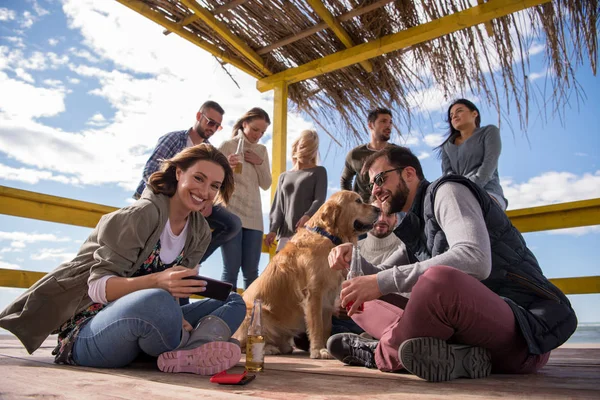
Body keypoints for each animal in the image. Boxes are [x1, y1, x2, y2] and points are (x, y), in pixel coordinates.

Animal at [231, 191, 378, 360]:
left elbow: (326, 327)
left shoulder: (328, 298)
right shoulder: (314, 293)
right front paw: (318, 350)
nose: (379, 209)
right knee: (243, 344)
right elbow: (316, 325)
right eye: (358, 201)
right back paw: (267, 348)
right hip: (255, 314)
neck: (328, 235)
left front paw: (326, 347)